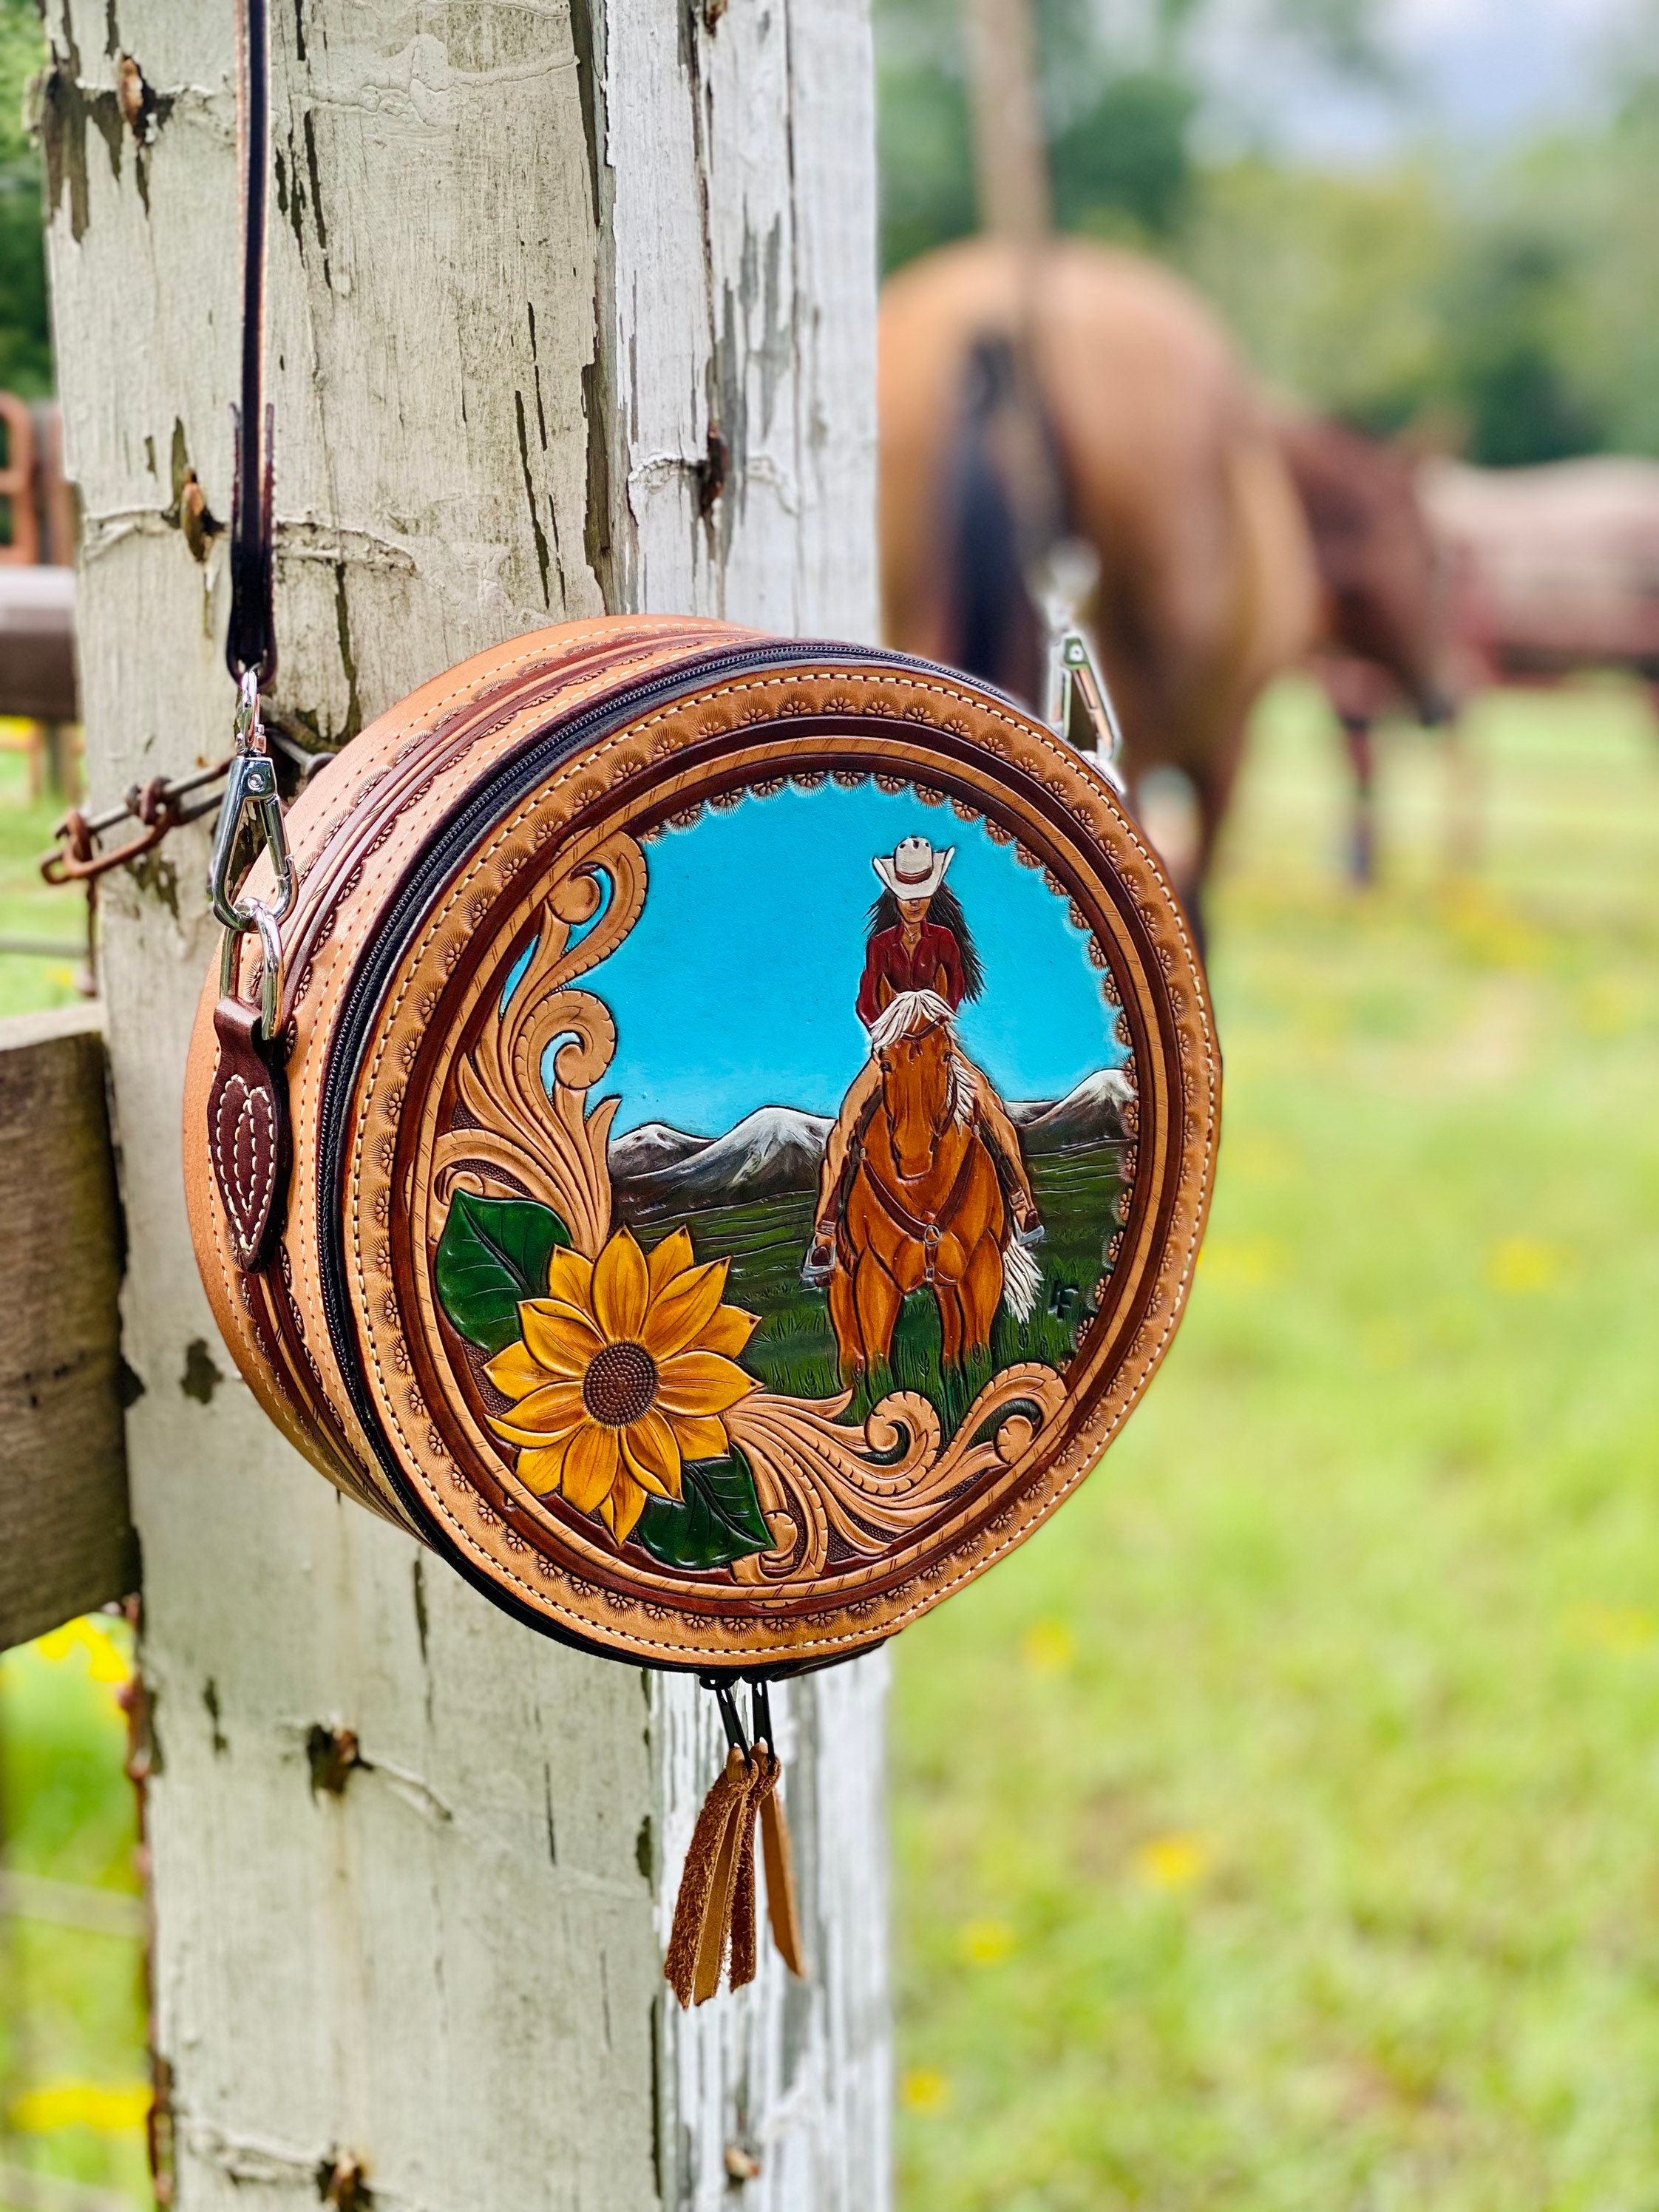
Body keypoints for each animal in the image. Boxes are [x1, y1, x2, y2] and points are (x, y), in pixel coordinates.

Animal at [831, 995, 1013, 1371]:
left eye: (945, 1055)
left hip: (946, 1282)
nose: (913, 1155)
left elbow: (977, 1354)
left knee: (953, 1347)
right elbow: (879, 1365)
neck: (924, 1192)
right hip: (842, 1284)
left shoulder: (981, 1263)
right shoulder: (874, 1277)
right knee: (851, 1360)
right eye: (886, 1063)